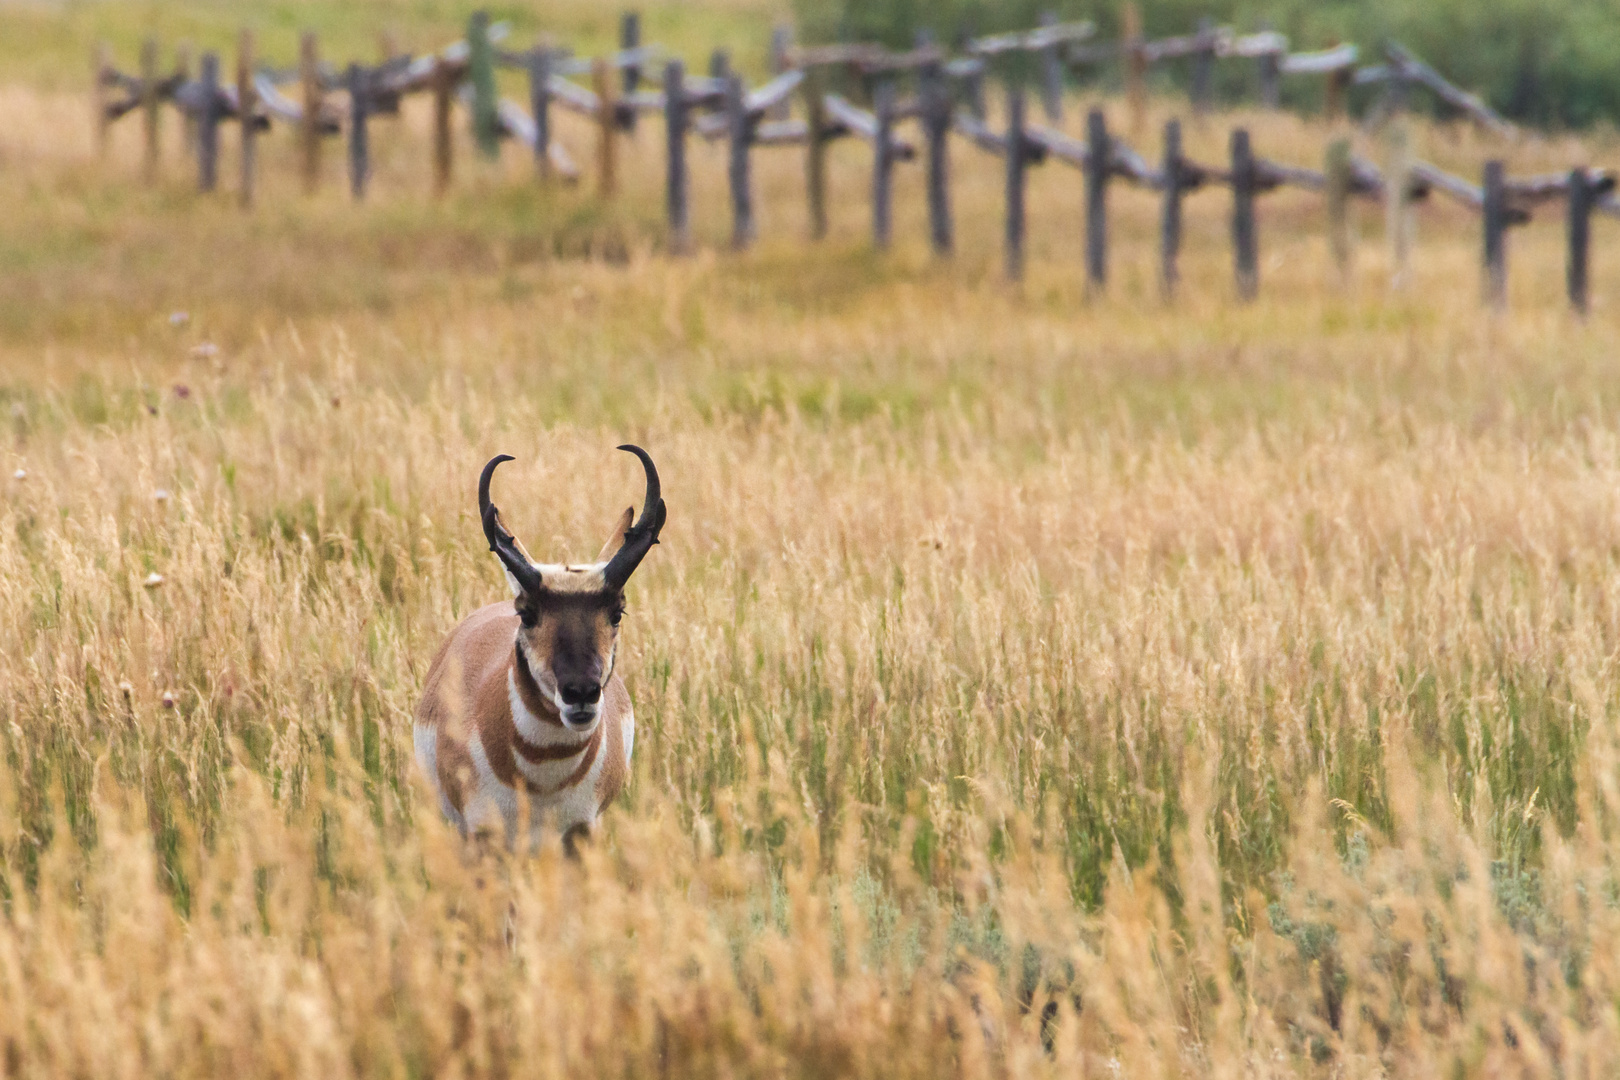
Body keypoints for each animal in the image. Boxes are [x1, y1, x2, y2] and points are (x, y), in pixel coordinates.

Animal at [417, 446, 670, 854]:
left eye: (617, 612)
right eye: (528, 613)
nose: (580, 693)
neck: (543, 777)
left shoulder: (582, 834)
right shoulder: (481, 836)